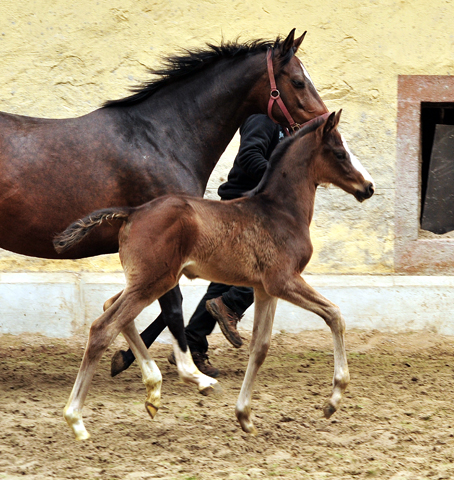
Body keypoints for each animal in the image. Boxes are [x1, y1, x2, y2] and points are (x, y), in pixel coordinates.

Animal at [55, 110, 374, 440]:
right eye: (340, 153)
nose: (369, 187)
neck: (279, 211)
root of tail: (133, 212)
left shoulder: (265, 289)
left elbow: (260, 347)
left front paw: (245, 416)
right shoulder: (283, 280)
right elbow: (334, 314)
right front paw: (333, 400)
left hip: (148, 280)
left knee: (112, 310)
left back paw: (154, 392)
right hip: (153, 282)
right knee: (102, 328)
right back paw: (76, 419)